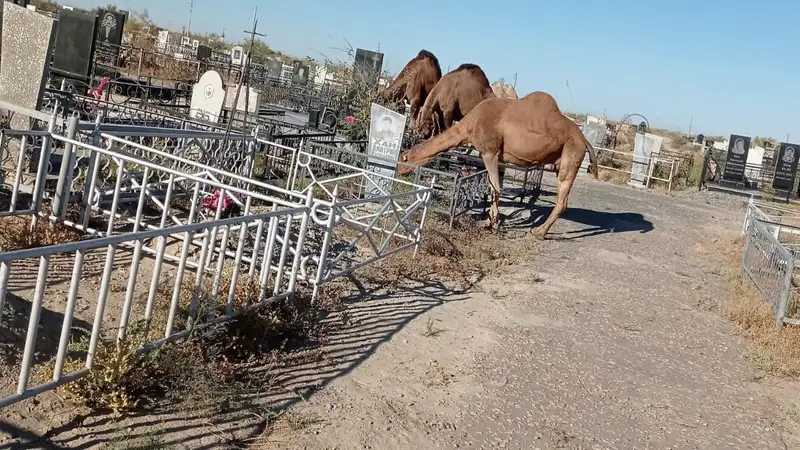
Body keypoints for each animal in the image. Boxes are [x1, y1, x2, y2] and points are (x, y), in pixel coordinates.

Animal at [396, 89, 596, 241]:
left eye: (404, 158)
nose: (399, 170)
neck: (469, 125)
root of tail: (584, 140)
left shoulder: (489, 152)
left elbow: (496, 187)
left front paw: (491, 223)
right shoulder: (498, 157)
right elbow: (494, 187)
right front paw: (489, 221)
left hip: (571, 154)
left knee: (562, 199)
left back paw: (538, 233)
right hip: (563, 160)